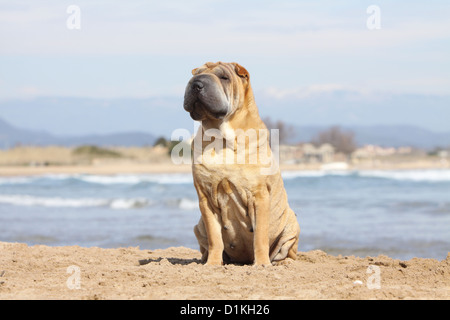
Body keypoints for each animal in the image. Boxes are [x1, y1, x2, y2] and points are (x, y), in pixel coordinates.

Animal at [183, 62, 298, 264]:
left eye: (224, 77)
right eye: (196, 74)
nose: (196, 83)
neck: (221, 138)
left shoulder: (259, 196)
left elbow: (260, 236)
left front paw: (261, 264)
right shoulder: (205, 198)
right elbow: (215, 238)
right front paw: (212, 263)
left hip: (292, 222)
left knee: (287, 250)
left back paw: (283, 262)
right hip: (198, 227)